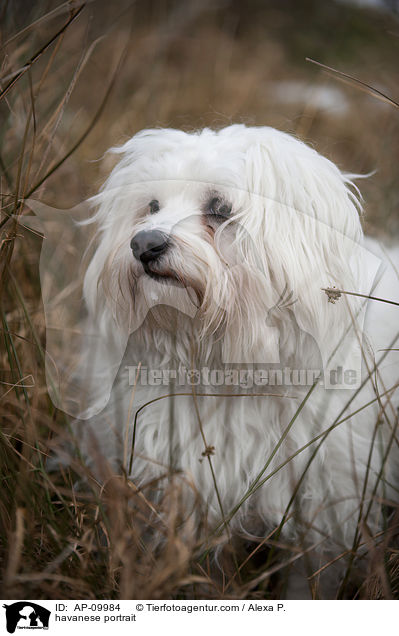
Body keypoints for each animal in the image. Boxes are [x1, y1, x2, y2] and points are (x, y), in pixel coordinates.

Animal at [54, 123, 398, 596]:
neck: (221, 364)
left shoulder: (324, 510)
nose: (144, 242)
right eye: (152, 206)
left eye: (219, 208)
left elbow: (311, 582)